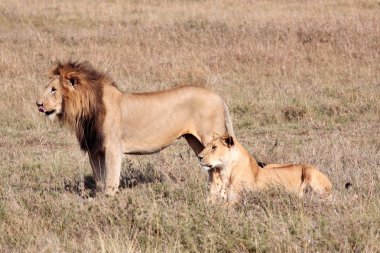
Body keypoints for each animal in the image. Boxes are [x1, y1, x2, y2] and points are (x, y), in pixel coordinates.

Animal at [37, 60, 236, 196]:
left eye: (53, 89)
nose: (38, 104)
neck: (86, 110)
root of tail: (219, 97)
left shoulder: (112, 148)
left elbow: (110, 180)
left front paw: (109, 201)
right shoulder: (95, 149)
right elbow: (100, 180)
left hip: (210, 138)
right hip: (195, 142)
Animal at [199, 133, 332, 203]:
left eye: (214, 147)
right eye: (208, 146)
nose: (199, 157)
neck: (226, 171)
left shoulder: (236, 200)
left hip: (310, 172)